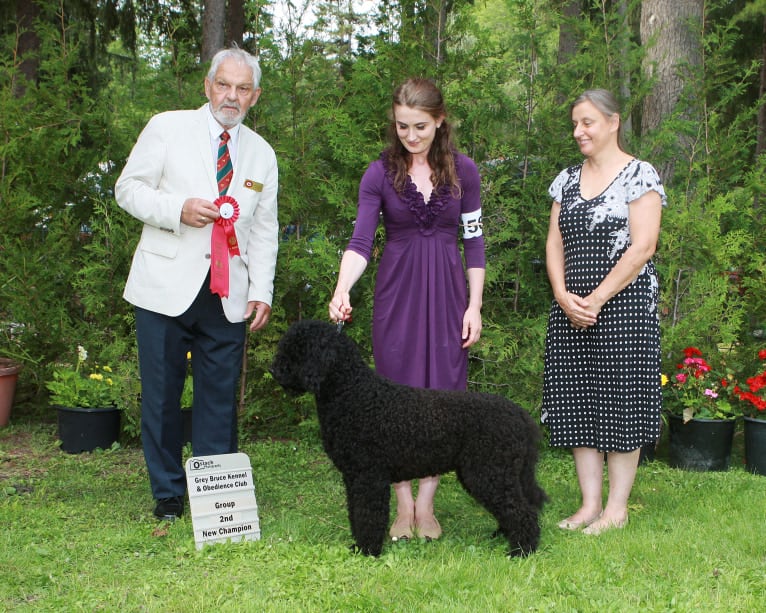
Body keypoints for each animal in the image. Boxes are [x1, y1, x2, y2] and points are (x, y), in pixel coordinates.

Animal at [270, 320, 544, 556]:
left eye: (299, 349)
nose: (272, 370)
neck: (353, 392)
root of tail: (519, 414)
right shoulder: (353, 477)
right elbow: (356, 513)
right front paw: (358, 546)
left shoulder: (368, 477)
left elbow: (368, 515)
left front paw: (368, 550)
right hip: (490, 475)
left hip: (489, 473)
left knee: (523, 512)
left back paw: (522, 551)